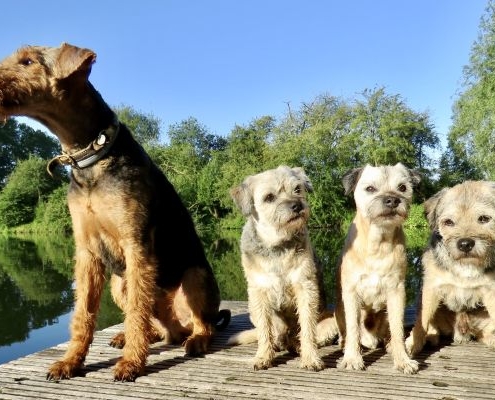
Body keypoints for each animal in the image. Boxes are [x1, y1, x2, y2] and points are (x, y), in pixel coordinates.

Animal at [0, 43, 231, 382]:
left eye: (27, 61)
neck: (91, 156)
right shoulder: (86, 251)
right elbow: (83, 314)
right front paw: (70, 361)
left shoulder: (136, 245)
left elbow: (135, 312)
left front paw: (131, 364)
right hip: (118, 284)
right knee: (166, 327)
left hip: (195, 277)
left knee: (200, 324)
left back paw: (195, 340)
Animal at [229, 166, 338, 372]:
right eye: (269, 197)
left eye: (297, 189)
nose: (297, 205)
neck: (277, 244)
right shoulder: (258, 291)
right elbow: (264, 331)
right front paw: (263, 357)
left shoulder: (305, 287)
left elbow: (307, 327)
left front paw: (311, 358)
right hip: (254, 309)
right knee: (274, 335)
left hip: (332, 321)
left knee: (302, 337)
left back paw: (296, 346)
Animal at [336, 161, 420, 374]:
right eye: (370, 189)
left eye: (402, 187)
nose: (392, 200)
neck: (378, 243)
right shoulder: (351, 292)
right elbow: (353, 328)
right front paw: (352, 358)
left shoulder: (396, 291)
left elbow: (398, 329)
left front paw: (403, 360)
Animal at [406, 180, 495, 354]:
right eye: (449, 222)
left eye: (484, 218)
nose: (465, 244)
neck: (465, 264)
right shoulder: (431, 288)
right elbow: (422, 321)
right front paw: (412, 343)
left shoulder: (491, 291)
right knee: (432, 326)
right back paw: (430, 337)